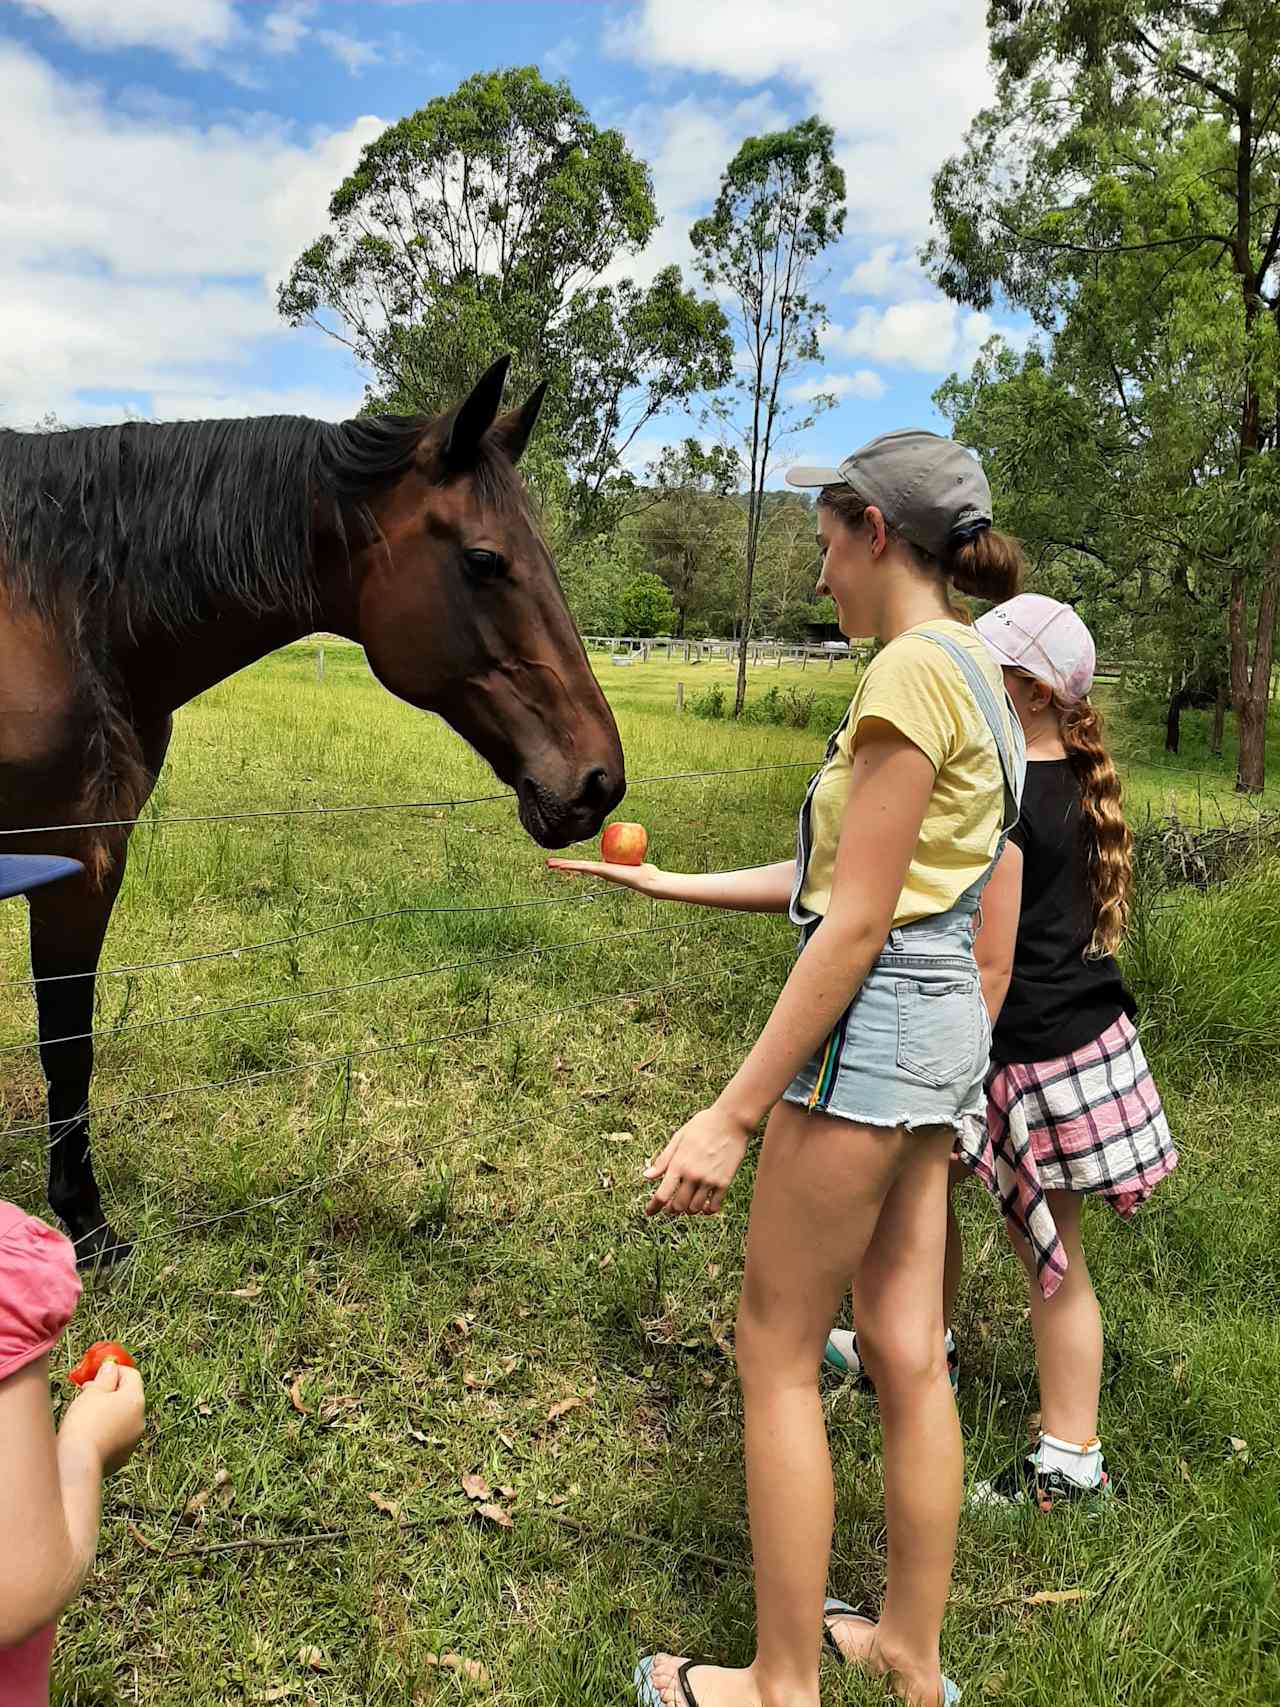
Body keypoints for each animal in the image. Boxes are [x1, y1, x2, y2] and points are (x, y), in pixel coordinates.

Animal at [0, 360, 628, 1270]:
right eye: (484, 559)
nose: (597, 781)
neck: (58, 618)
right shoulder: (68, 860)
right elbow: (64, 1041)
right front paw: (87, 1224)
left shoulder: (89, 857)